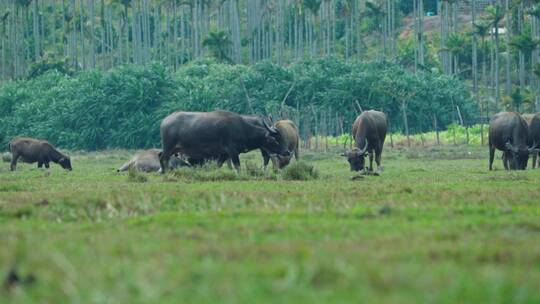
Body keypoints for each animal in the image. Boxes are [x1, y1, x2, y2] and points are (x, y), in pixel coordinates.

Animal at [159, 110, 288, 173]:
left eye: (282, 138)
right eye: (275, 140)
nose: (287, 152)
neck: (242, 129)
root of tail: (165, 121)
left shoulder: (224, 153)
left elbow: (218, 165)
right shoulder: (232, 151)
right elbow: (237, 166)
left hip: (174, 149)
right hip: (169, 146)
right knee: (163, 158)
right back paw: (165, 172)